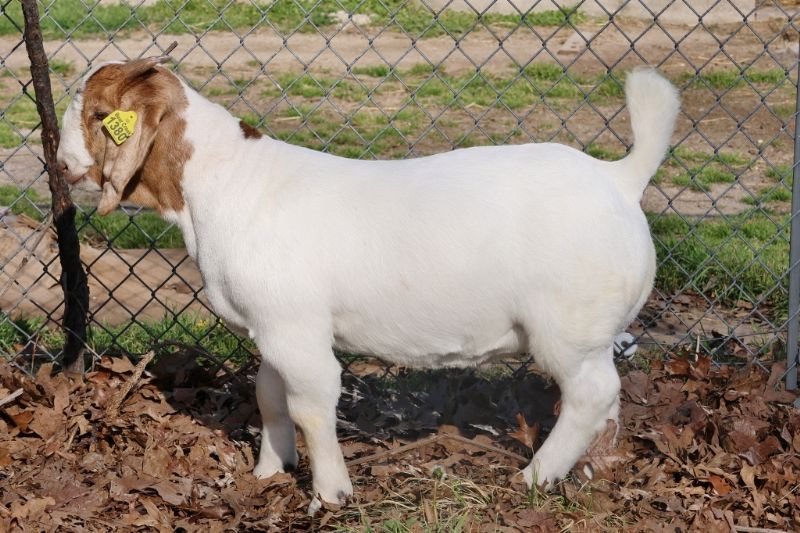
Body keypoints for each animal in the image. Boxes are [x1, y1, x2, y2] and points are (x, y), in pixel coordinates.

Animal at [57, 55, 679, 509]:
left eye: (98, 115)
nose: (60, 165)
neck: (226, 179)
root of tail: (618, 179)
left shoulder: (296, 330)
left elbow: (312, 405)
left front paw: (330, 495)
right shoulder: (272, 327)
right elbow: (270, 397)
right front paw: (269, 472)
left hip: (570, 326)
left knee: (589, 393)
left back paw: (537, 476)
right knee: (605, 398)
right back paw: (593, 466)